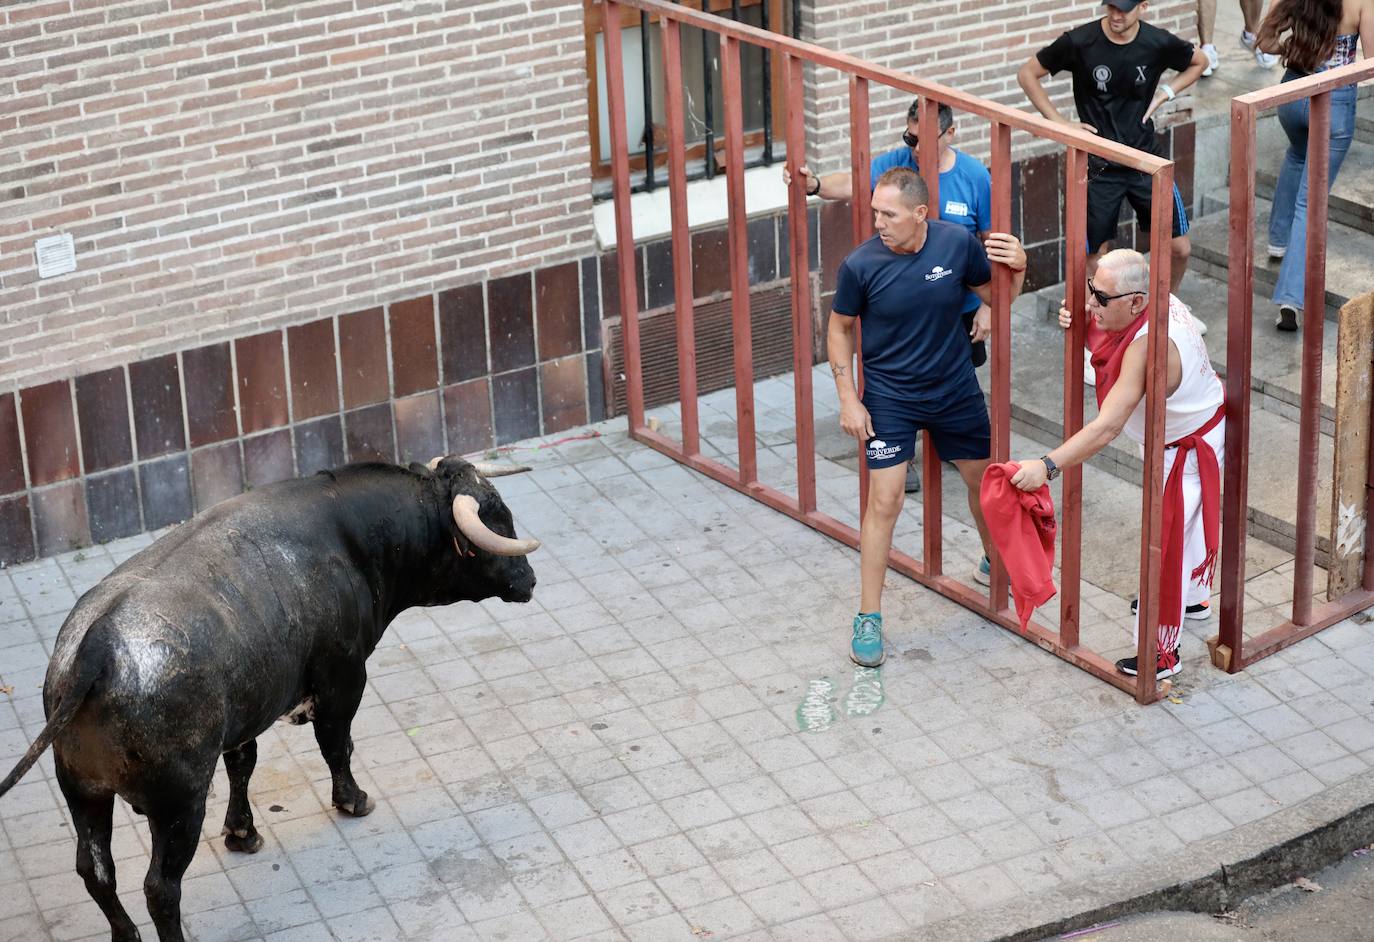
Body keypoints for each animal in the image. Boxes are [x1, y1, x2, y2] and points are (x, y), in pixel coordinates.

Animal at [0, 458, 535, 942]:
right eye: (495, 518)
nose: (529, 580)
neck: (352, 535)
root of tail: (97, 646)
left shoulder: (246, 709)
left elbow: (243, 763)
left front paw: (242, 832)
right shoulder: (343, 678)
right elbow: (337, 745)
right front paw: (353, 800)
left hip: (83, 791)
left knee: (97, 871)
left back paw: (125, 934)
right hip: (180, 804)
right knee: (160, 887)